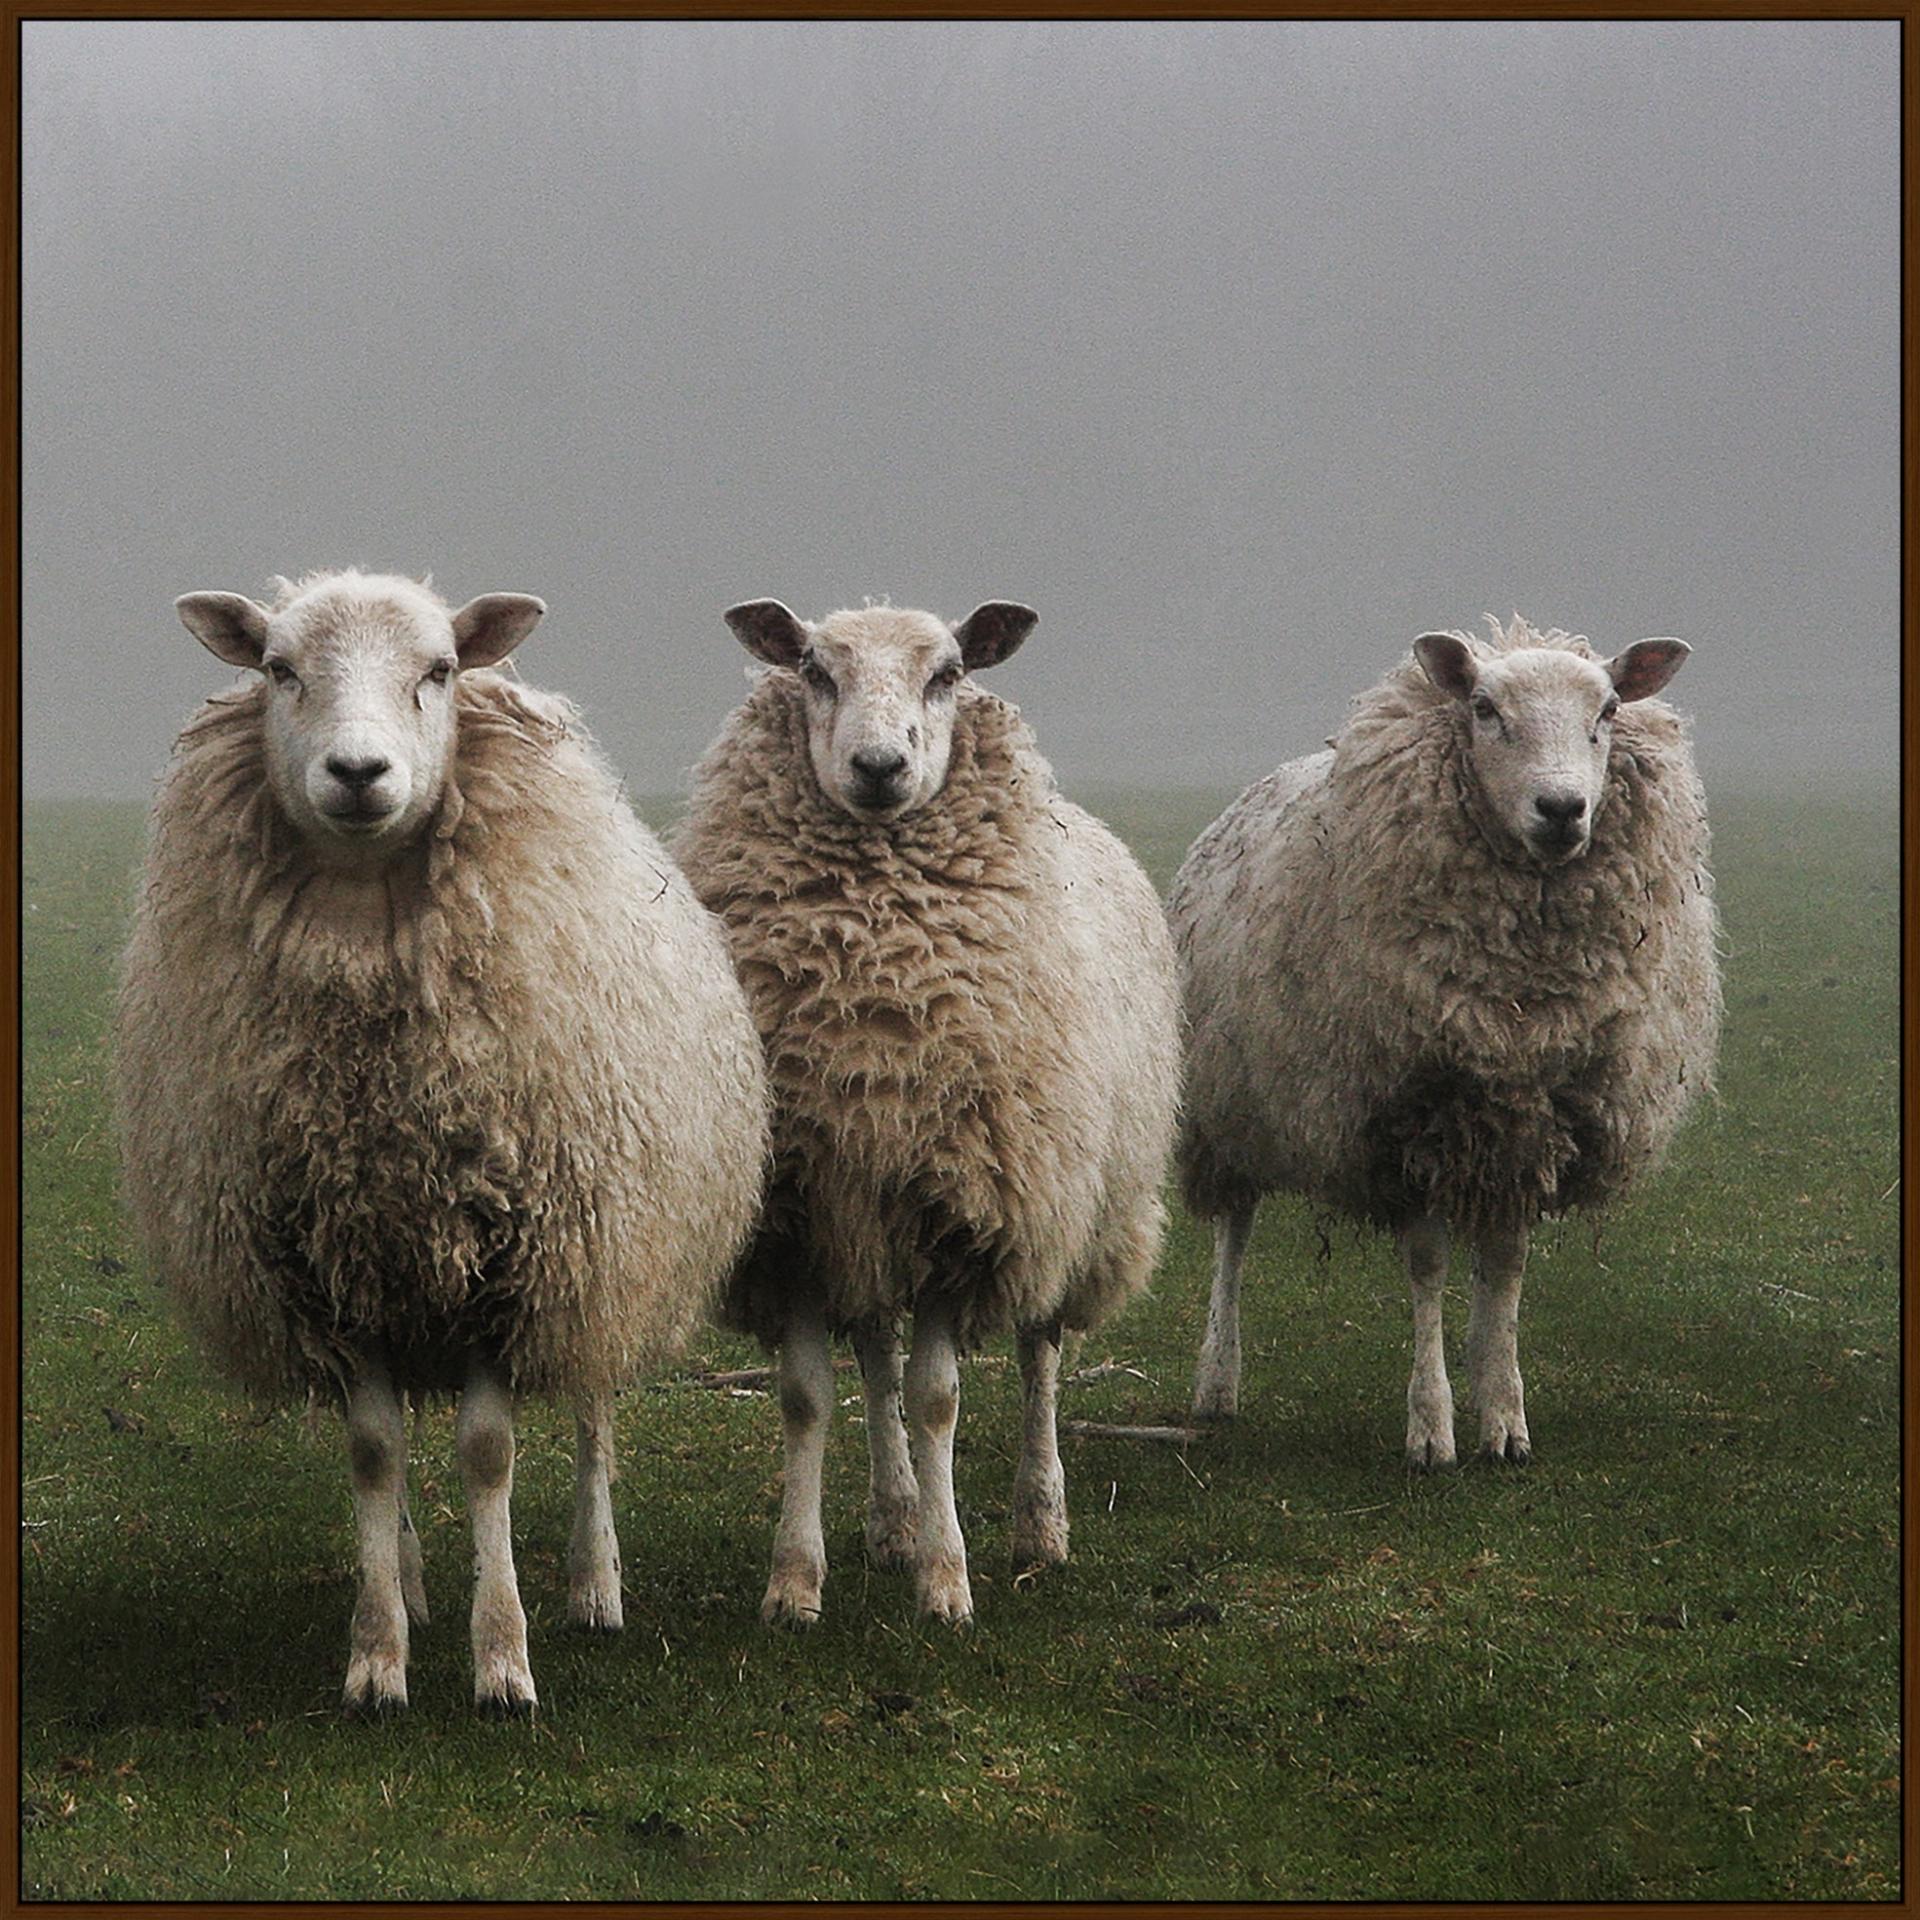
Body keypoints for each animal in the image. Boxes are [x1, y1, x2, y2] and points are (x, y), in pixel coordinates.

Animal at [113, 569, 769, 1714]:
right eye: (279, 669)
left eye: (442, 669)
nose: (358, 773)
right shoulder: (331, 1263)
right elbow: (376, 1453)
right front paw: (378, 1656)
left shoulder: (517, 1261)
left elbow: (490, 1451)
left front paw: (503, 1658)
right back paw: (417, 1583)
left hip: (605, 1246)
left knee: (594, 1411)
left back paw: (594, 1584)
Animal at [672, 598, 1182, 1628]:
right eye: (814, 671)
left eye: (948, 673)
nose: (878, 767)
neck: (874, 997)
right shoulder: (801, 1216)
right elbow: (806, 1398)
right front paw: (796, 1582)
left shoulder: (967, 1208)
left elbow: (941, 1395)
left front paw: (947, 1584)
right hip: (866, 1218)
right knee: (875, 1355)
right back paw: (893, 1519)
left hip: (1068, 1207)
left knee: (1039, 1354)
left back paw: (1039, 1526)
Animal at [1169, 615, 1720, 1466]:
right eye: (1485, 710)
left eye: (1607, 713)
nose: (1561, 809)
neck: (1523, 985)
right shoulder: (1410, 1117)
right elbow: (1428, 1266)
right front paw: (1431, 1426)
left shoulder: (1529, 1123)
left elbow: (1506, 1268)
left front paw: (1504, 1414)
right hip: (1229, 1100)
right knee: (1235, 1231)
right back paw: (1217, 1381)